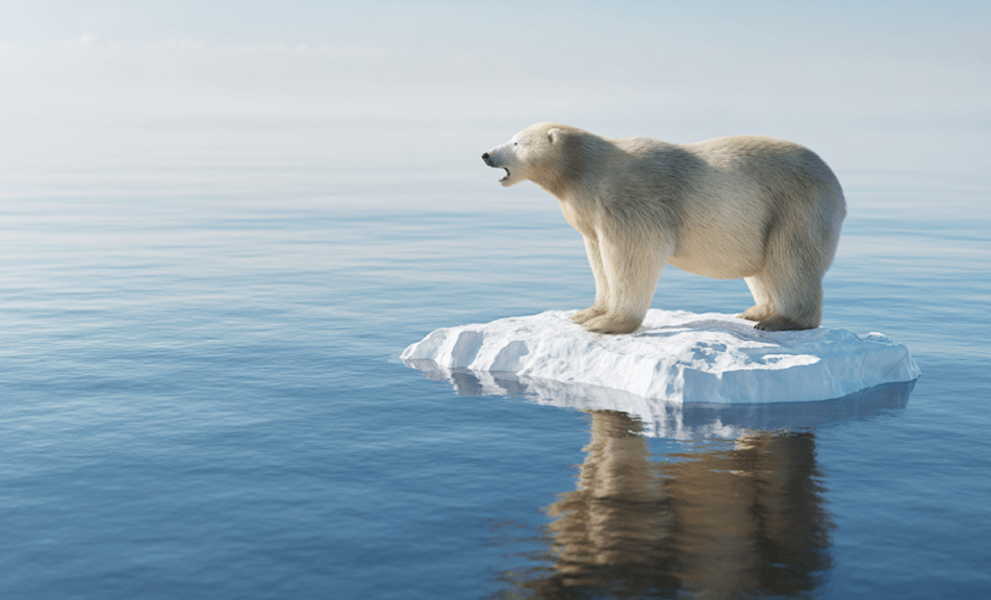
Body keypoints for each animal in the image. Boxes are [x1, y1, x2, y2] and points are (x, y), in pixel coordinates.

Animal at [480, 122, 844, 336]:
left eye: (516, 142)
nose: (486, 154)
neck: (583, 170)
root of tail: (836, 185)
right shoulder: (591, 214)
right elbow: (598, 258)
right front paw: (586, 313)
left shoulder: (630, 200)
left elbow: (632, 255)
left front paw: (609, 323)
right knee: (764, 267)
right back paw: (757, 310)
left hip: (796, 205)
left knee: (791, 259)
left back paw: (781, 321)